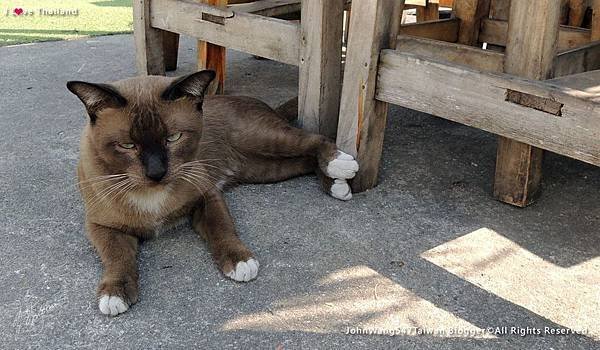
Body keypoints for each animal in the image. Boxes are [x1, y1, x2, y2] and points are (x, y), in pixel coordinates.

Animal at [67, 69, 356, 316]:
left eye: (173, 138)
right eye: (127, 145)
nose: (156, 173)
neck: (152, 196)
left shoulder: (207, 196)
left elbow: (222, 229)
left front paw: (240, 262)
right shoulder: (102, 226)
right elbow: (117, 258)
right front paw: (114, 294)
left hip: (267, 143)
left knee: (314, 139)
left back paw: (340, 164)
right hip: (265, 168)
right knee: (306, 161)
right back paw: (337, 184)